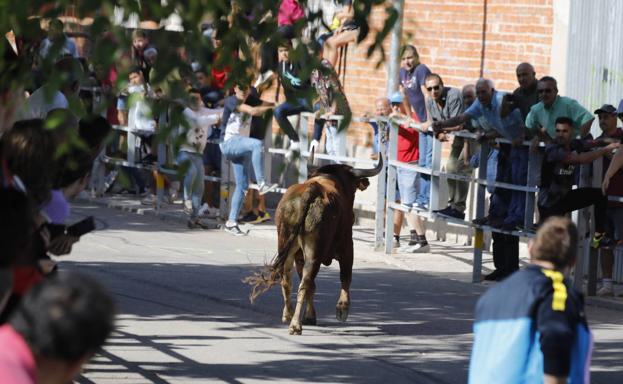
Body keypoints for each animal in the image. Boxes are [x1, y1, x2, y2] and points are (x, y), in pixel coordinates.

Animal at [245, 153, 382, 332]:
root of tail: (311, 190)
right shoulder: (347, 247)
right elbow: (345, 278)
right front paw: (342, 309)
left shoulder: (299, 256)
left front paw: (310, 316)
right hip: (314, 253)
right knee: (305, 283)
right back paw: (295, 325)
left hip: (286, 246)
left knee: (288, 280)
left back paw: (288, 315)